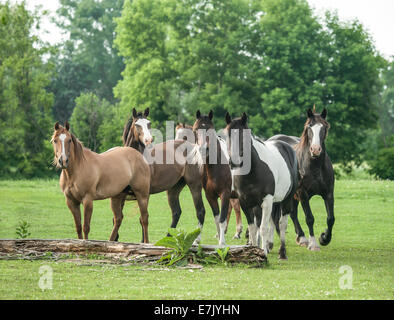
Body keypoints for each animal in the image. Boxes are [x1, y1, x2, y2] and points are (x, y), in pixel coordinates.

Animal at [223, 112, 298, 260]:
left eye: (244, 135)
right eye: (227, 134)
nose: (234, 162)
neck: (253, 172)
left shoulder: (267, 200)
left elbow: (263, 228)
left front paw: (263, 252)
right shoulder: (245, 202)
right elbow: (253, 228)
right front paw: (253, 250)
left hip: (286, 200)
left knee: (282, 224)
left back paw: (282, 253)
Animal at [268, 107, 336, 250]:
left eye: (324, 127)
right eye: (309, 127)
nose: (315, 150)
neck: (315, 166)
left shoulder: (328, 193)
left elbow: (331, 218)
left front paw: (324, 238)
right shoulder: (303, 194)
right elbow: (309, 218)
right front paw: (314, 243)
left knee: (292, 213)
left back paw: (301, 237)